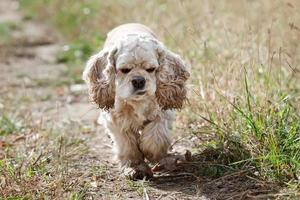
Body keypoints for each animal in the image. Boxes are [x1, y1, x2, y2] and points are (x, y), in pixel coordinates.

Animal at [82, 23, 190, 180]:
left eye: (151, 69)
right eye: (124, 70)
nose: (139, 80)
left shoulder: (163, 113)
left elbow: (155, 136)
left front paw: (151, 153)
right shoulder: (117, 121)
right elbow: (128, 146)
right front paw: (135, 168)